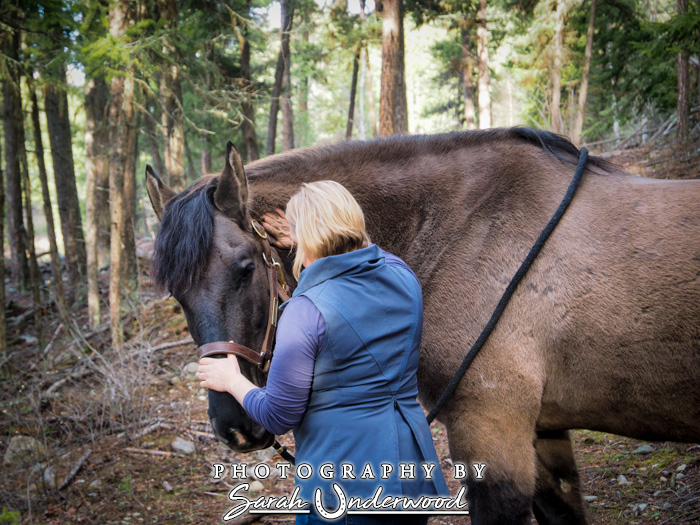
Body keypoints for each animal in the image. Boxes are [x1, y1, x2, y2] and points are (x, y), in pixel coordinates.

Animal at [146, 128, 700, 524]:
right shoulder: (542, 431)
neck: (469, 227)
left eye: (245, 268)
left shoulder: (491, 432)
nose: (233, 425)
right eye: (176, 294)